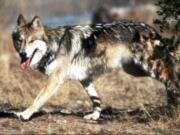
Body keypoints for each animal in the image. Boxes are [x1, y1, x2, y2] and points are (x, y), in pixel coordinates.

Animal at [10, 14, 179, 121]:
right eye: (20, 40)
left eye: (31, 41)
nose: (23, 54)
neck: (54, 46)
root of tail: (150, 28)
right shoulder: (85, 79)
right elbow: (96, 100)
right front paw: (95, 117)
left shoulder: (55, 79)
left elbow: (37, 99)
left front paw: (25, 114)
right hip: (135, 70)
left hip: (150, 67)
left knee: (171, 79)